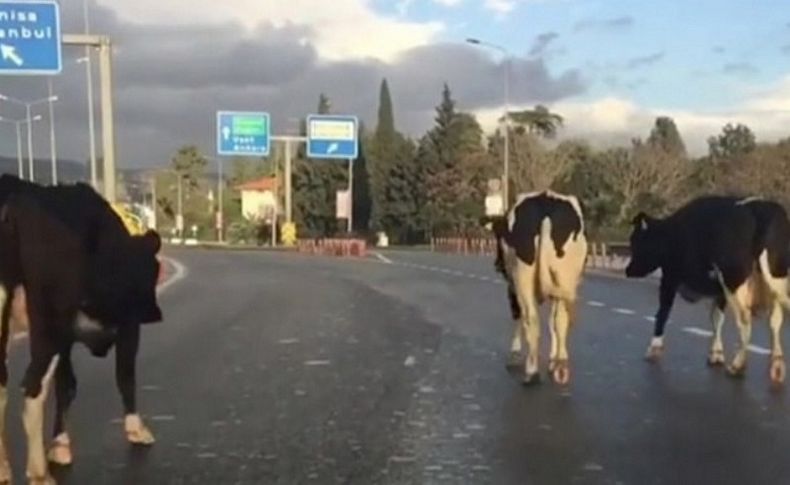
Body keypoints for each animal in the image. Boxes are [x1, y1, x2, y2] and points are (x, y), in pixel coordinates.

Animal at [0, 175, 163, 484]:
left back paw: (4, 469)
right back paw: (39, 473)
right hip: (47, 322)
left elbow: (66, 385)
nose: (155, 315)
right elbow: (125, 375)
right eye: (153, 270)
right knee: (33, 388)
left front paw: (60, 445)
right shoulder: (128, 325)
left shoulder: (66, 339)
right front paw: (137, 429)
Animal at [482, 191, 588, 384]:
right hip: (565, 277)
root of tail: (546, 203)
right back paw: (561, 365)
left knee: (530, 317)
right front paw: (553, 359)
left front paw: (514, 354)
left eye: (497, 235)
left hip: (522, 277)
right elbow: (553, 322)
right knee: (561, 319)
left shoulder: (512, 287)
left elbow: (517, 315)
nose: (497, 264)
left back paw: (531, 371)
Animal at [624, 195, 790, 384]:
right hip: (775, 278)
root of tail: (760, 206)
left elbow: (662, 312)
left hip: (734, 280)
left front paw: (654, 348)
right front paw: (716, 354)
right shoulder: (719, 291)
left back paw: (737, 366)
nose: (628, 270)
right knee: (775, 321)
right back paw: (777, 367)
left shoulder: (670, 278)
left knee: (745, 319)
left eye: (636, 241)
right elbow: (716, 318)